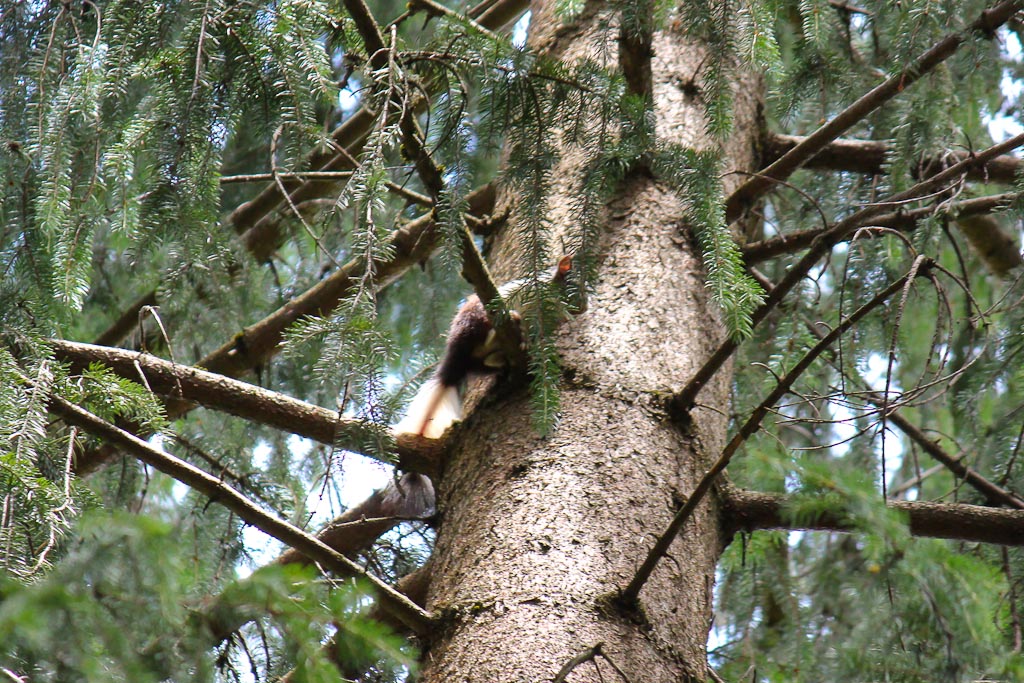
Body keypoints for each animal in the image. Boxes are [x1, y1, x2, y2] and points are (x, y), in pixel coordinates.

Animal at [393, 254, 577, 438]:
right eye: (571, 286)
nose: (580, 308)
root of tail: (458, 356)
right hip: (478, 316)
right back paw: (509, 325)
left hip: (481, 359)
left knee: (488, 360)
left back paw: (503, 355)